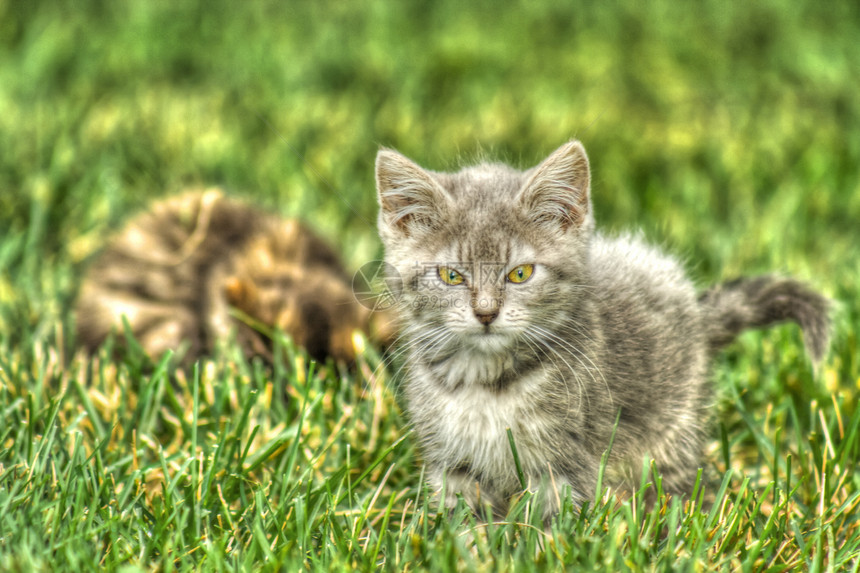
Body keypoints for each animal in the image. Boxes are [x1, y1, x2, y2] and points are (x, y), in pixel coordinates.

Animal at [372, 141, 828, 516]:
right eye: (451, 276)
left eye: (520, 273)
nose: (485, 313)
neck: (486, 382)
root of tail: (696, 313)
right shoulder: (451, 460)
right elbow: (464, 523)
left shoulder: (565, 459)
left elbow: (550, 524)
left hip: (670, 427)